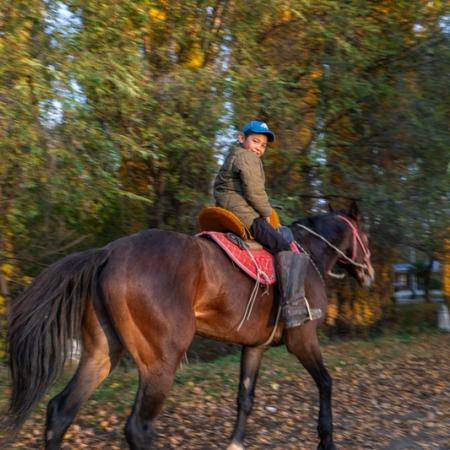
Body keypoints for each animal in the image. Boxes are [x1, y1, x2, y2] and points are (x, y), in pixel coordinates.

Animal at [5, 201, 374, 450]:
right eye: (366, 238)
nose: (369, 274)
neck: (308, 255)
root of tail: (109, 252)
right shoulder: (303, 339)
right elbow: (326, 383)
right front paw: (326, 439)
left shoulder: (254, 347)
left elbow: (245, 397)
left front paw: (235, 443)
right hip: (160, 363)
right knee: (138, 428)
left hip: (102, 354)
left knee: (61, 412)